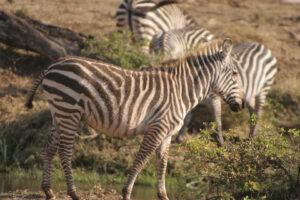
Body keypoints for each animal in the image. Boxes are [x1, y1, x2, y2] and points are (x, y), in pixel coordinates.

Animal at [25, 39, 244, 200]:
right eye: (234, 73)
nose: (240, 106)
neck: (181, 91)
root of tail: (52, 65)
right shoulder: (157, 128)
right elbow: (141, 159)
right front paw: (126, 193)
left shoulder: (167, 134)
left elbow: (162, 164)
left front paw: (163, 195)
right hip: (69, 111)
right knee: (64, 151)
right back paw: (73, 193)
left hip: (59, 113)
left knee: (49, 148)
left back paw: (48, 190)